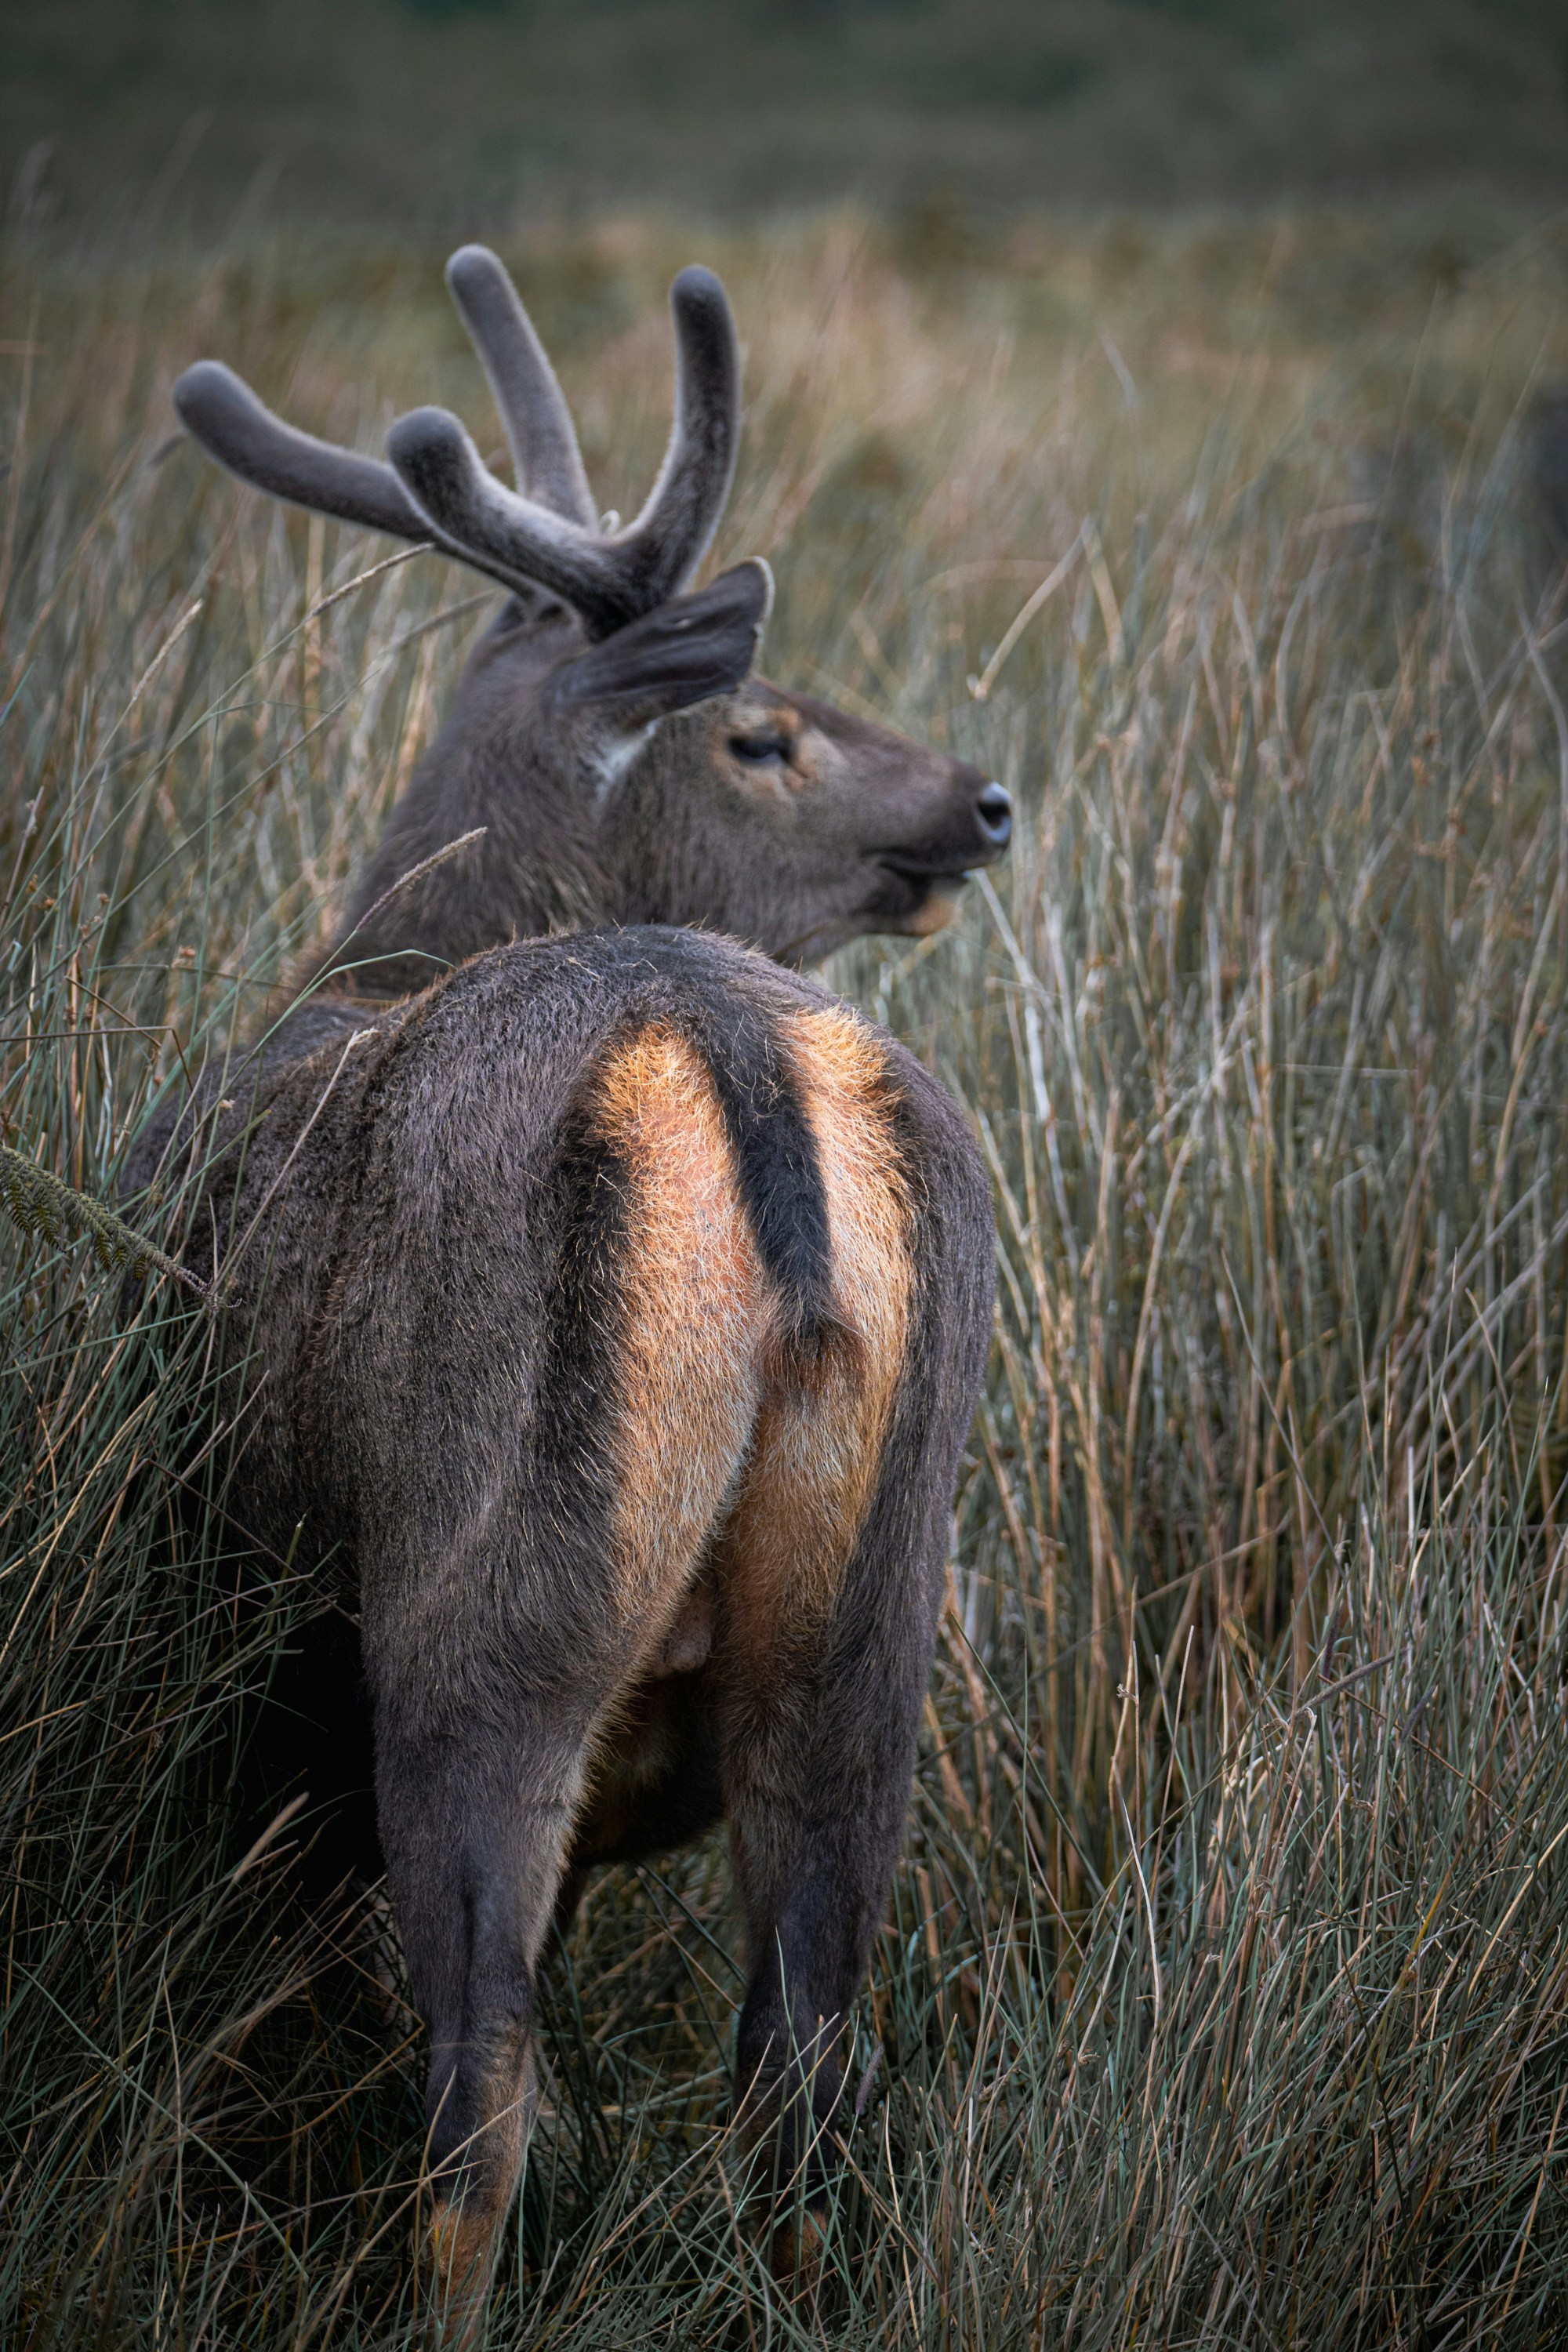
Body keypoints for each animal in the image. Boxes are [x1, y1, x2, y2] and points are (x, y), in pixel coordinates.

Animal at [138, 245, 1010, 2323]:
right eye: (761, 729)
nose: (983, 800)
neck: (361, 962)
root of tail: (740, 1048)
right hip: (869, 1636)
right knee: (802, 2083)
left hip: (492, 1604)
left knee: (479, 2111)